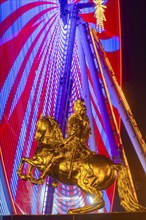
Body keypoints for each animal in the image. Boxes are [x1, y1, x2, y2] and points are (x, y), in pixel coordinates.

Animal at [17, 115, 146, 213]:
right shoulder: (38, 162)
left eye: (39, 124)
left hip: (84, 183)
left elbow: (25, 159)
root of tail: (112, 164)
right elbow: (28, 162)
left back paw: (74, 211)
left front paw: (26, 176)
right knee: (98, 200)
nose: (36, 137)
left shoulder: (41, 163)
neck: (49, 144)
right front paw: (28, 176)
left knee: (99, 201)